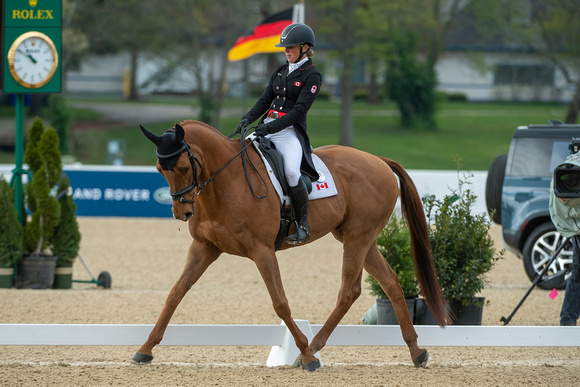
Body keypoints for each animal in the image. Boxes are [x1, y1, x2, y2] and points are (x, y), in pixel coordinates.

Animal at [135, 119, 448, 372]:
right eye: (160, 169)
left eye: (183, 167)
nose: (182, 212)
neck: (226, 182)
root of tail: (379, 160)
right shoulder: (204, 248)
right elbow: (175, 294)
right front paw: (145, 349)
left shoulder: (262, 251)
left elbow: (281, 303)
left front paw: (306, 355)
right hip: (358, 238)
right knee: (391, 283)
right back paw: (416, 351)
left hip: (358, 237)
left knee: (349, 290)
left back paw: (314, 348)